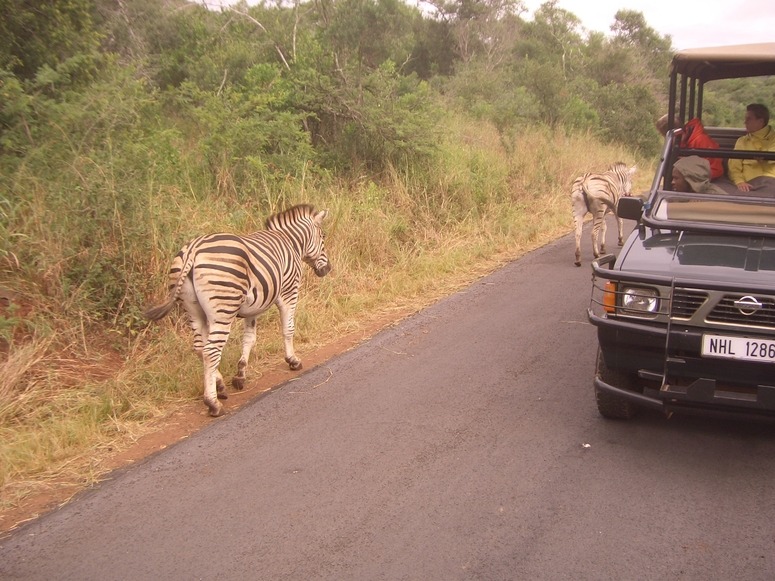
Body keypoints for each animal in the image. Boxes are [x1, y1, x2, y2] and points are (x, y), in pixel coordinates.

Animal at [144, 204, 332, 416]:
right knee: (211, 351)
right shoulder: (289, 293)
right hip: (223, 309)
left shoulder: (253, 308)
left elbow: (249, 339)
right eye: (323, 237)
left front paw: (240, 374)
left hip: (193, 310)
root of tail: (193, 249)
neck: (290, 242)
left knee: (200, 348)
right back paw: (213, 403)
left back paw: (219, 386)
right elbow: (288, 329)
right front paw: (293, 360)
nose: (328, 269)